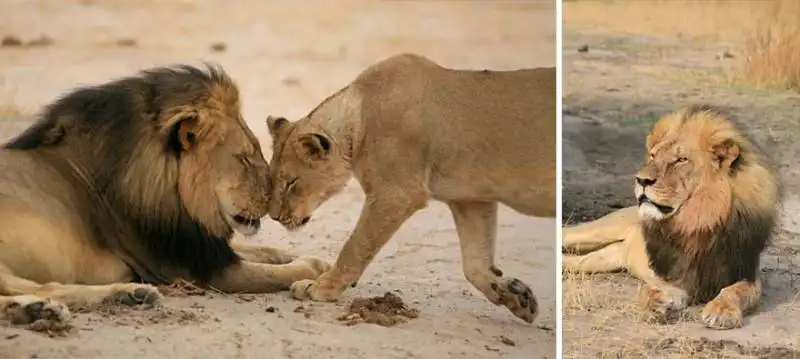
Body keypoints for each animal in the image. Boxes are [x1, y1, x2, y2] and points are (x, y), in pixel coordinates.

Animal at [0, 63, 330, 330]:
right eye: (244, 159)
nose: (275, 200)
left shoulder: (194, 241)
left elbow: (263, 251)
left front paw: (309, 258)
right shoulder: (200, 269)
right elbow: (278, 273)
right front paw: (315, 269)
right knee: (35, 286)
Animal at [266, 54, 552, 326]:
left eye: (291, 182)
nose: (274, 217)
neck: (358, 119)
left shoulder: (396, 192)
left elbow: (355, 246)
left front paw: (321, 287)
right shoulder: (470, 199)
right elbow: (475, 263)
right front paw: (517, 297)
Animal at [560, 105, 780, 330]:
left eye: (681, 160)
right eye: (652, 156)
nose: (641, 180)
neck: (697, 221)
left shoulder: (747, 273)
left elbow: (735, 291)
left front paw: (722, 311)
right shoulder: (672, 277)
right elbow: (652, 290)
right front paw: (653, 306)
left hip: (603, 259)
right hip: (596, 231)